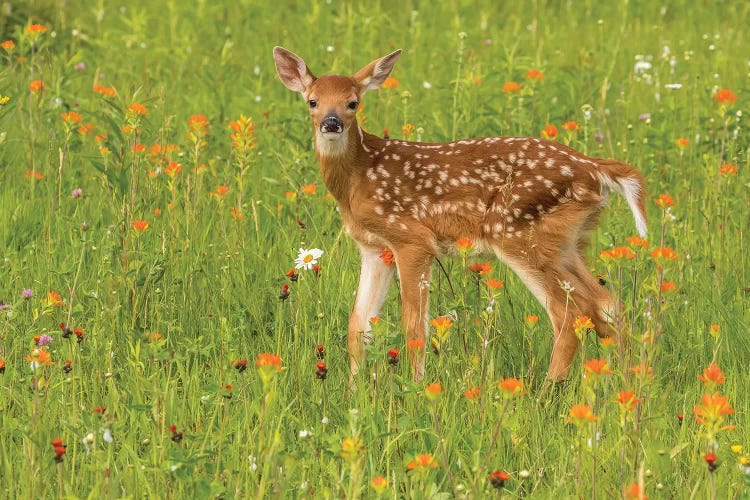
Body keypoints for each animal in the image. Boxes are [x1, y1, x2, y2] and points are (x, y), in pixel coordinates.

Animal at [274, 47, 648, 382]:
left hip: (515, 230)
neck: (359, 178)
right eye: (312, 101)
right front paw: (356, 393)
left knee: (568, 315)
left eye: (353, 102)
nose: (332, 123)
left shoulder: (412, 239)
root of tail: (594, 169)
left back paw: (545, 392)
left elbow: (415, 327)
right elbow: (359, 325)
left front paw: (418, 390)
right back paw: (626, 383)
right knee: (606, 305)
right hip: (567, 242)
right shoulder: (374, 246)